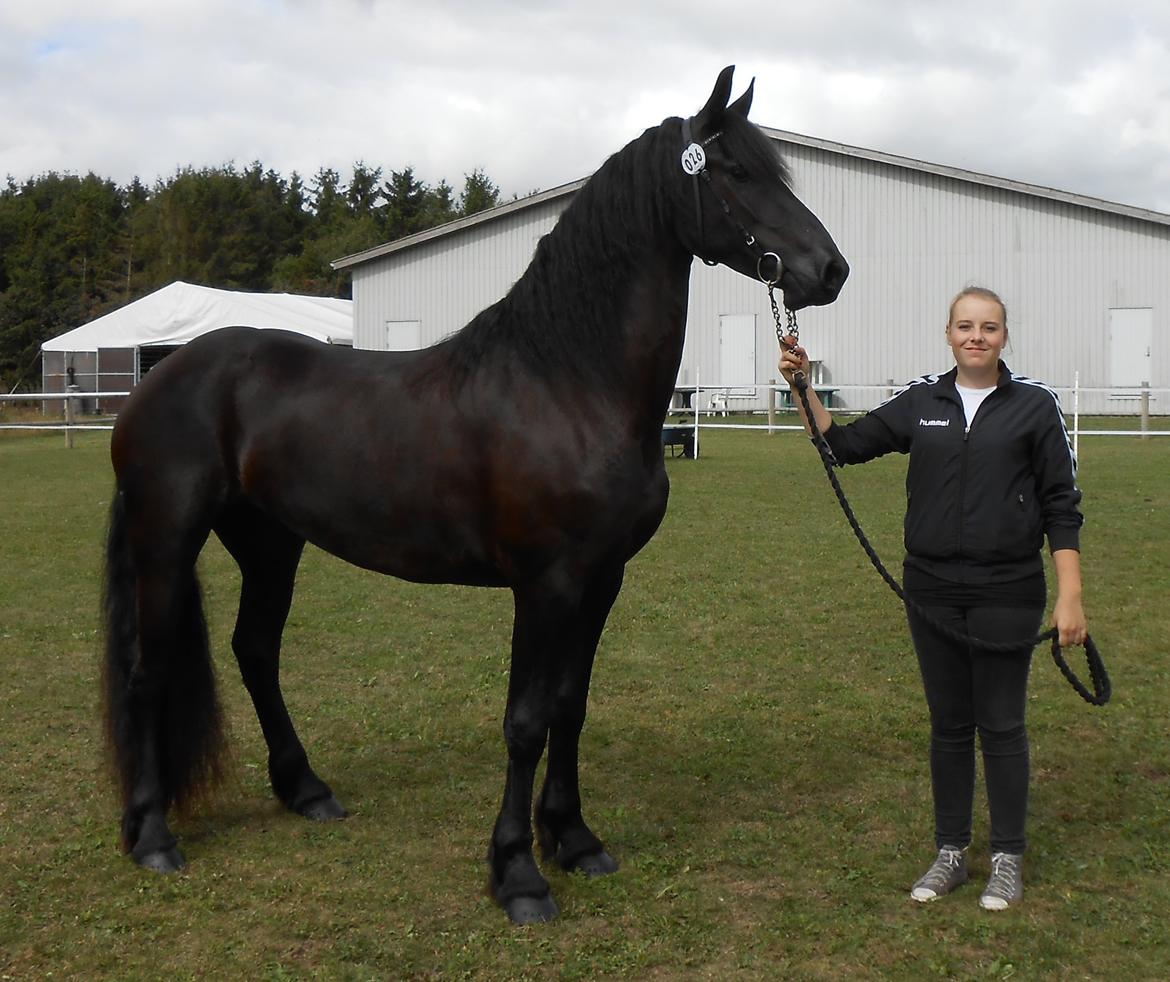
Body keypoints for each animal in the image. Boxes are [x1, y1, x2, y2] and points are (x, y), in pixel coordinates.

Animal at [102, 67, 842, 922]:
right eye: (735, 172)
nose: (831, 270)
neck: (568, 382)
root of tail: (159, 378)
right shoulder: (545, 586)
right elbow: (525, 721)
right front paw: (517, 872)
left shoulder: (602, 580)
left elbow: (570, 707)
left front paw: (574, 840)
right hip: (167, 540)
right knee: (148, 673)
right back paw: (154, 835)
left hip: (269, 543)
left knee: (255, 651)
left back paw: (307, 791)